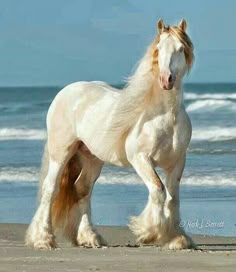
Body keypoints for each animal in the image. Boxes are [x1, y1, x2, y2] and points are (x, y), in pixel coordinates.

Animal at [25, 18, 195, 250]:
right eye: (158, 49)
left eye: (180, 49)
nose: (166, 80)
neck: (165, 117)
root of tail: (66, 91)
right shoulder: (140, 158)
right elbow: (158, 189)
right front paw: (148, 233)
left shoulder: (177, 161)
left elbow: (172, 198)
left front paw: (176, 238)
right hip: (61, 153)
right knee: (51, 189)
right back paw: (43, 239)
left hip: (92, 158)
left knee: (82, 190)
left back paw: (90, 238)